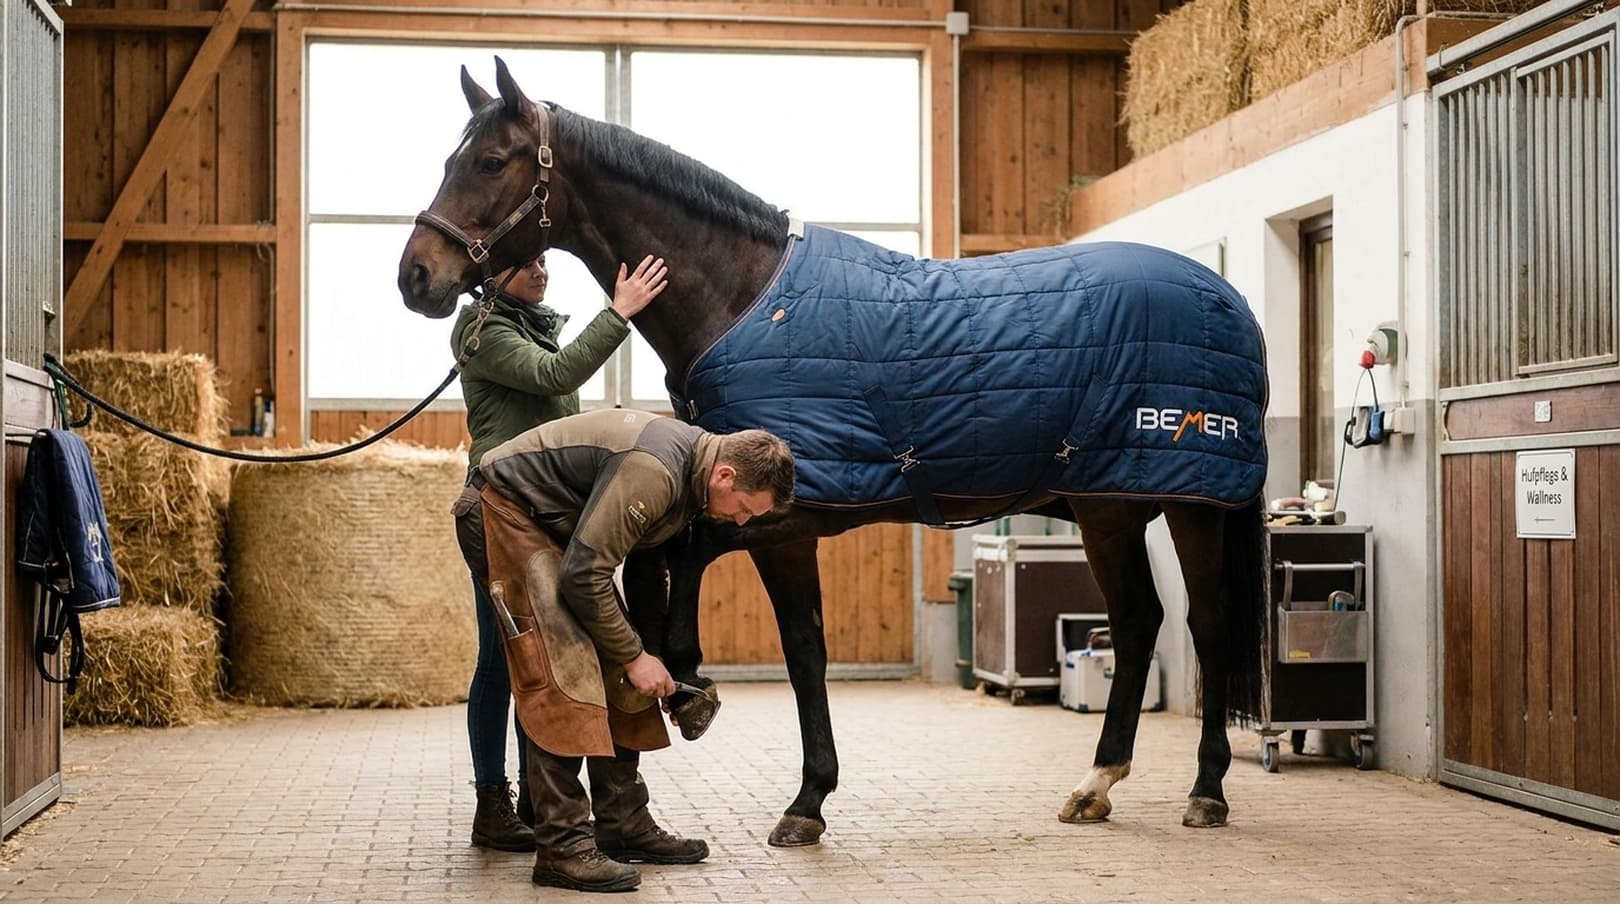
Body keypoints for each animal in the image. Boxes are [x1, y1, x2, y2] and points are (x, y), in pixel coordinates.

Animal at [399, 58, 1270, 847]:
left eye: (489, 162)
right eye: (447, 160)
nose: (416, 276)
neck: (743, 299)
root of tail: (1232, 302)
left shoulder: (784, 521)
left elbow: (799, 647)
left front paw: (802, 797)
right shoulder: (742, 501)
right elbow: (669, 567)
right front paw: (684, 683)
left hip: (1185, 506)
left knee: (1206, 624)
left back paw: (1206, 791)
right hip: (1108, 509)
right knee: (1139, 619)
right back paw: (1096, 785)